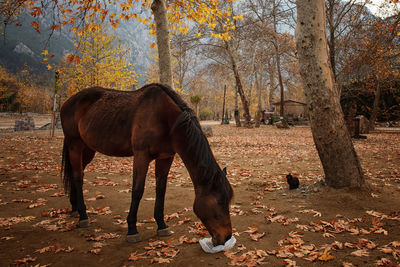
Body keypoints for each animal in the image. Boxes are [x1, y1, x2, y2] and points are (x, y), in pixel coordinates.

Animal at [60, 84, 233, 247]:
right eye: (220, 202)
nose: (226, 237)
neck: (166, 118)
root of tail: (68, 102)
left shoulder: (166, 157)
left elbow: (161, 190)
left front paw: (161, 225)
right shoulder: (141, 156)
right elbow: (137, 191)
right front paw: (132, 229)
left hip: (88, 149)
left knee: (77, 173)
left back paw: (75, 208)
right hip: (75, 144)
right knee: (77, 178)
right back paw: (83, 216)